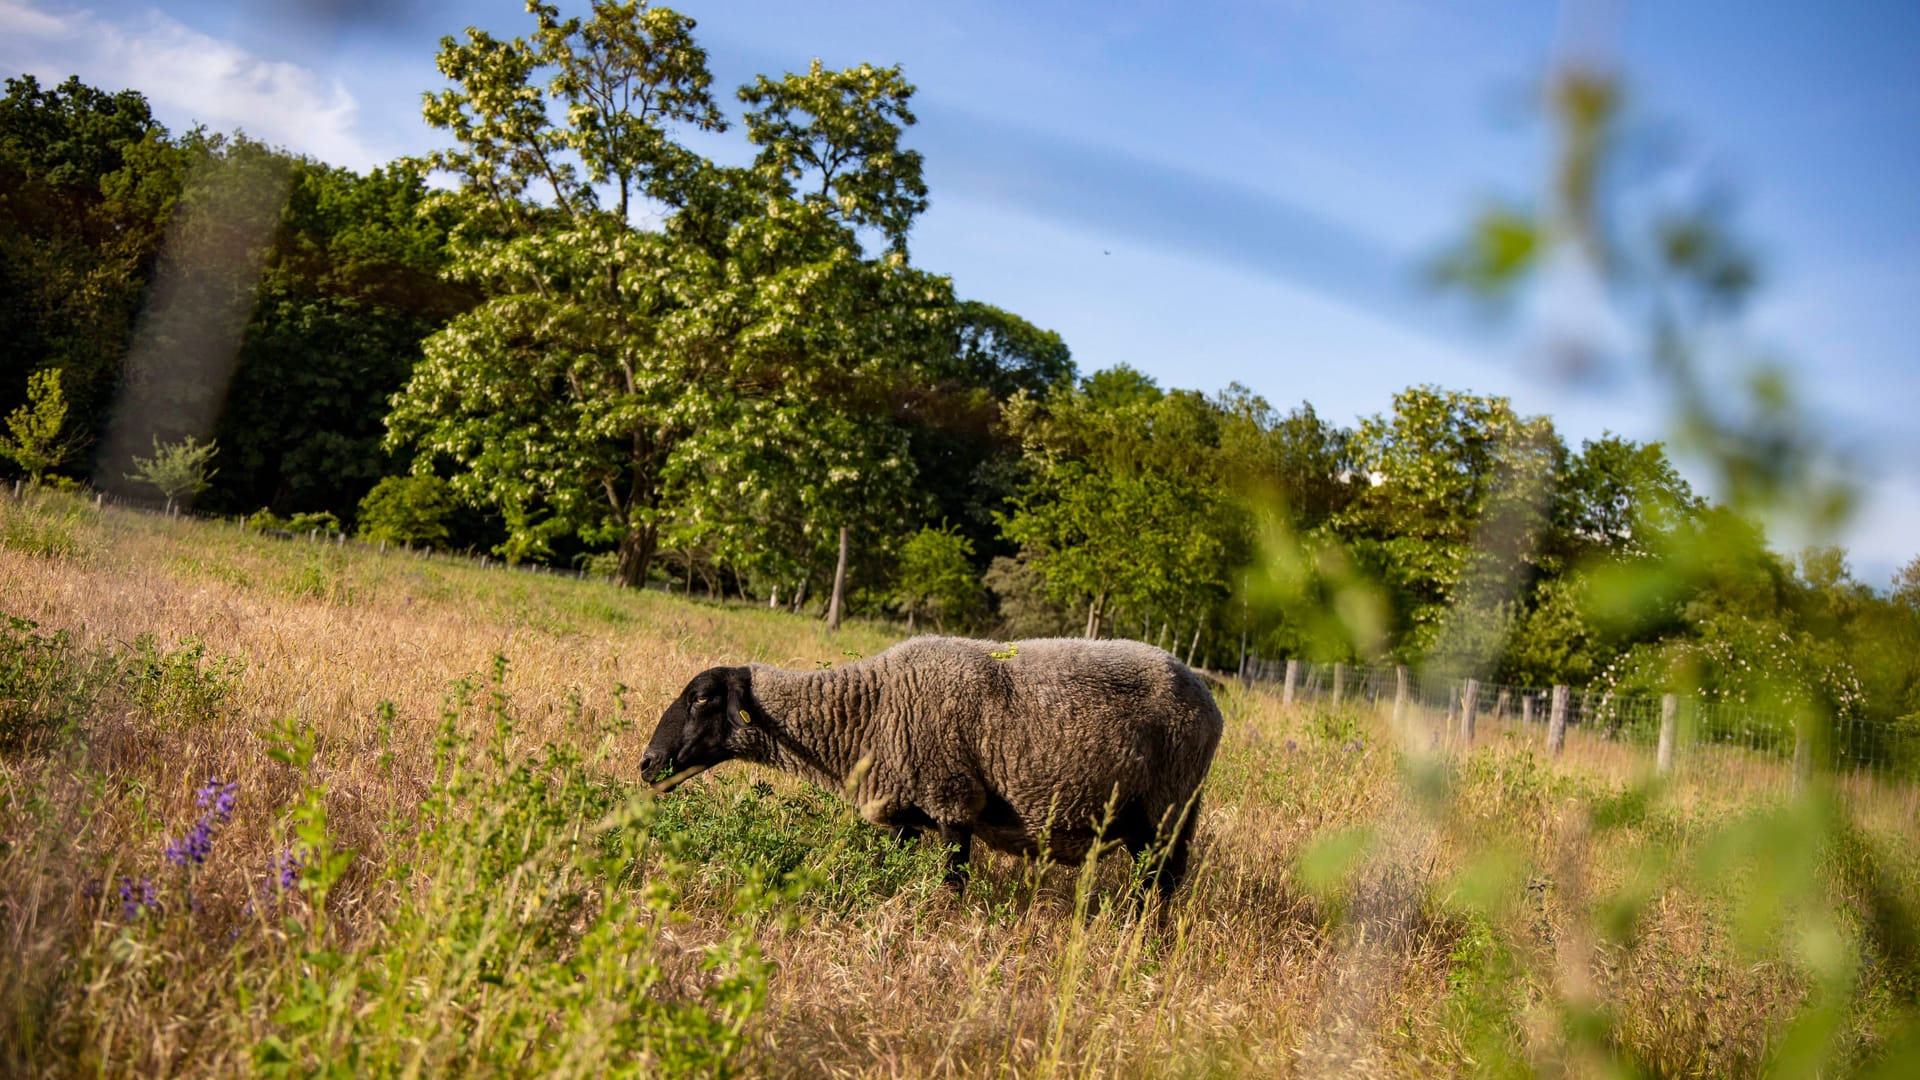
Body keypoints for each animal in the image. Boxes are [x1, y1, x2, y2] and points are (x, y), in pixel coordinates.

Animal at [637, 634, 1221, 895]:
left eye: (702, 698)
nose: (646, 764)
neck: (867, 710)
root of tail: (1209, 699)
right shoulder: (901, 816)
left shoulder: (953, 802)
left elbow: (951, 885)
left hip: (1166, 809)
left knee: (1162, 885)